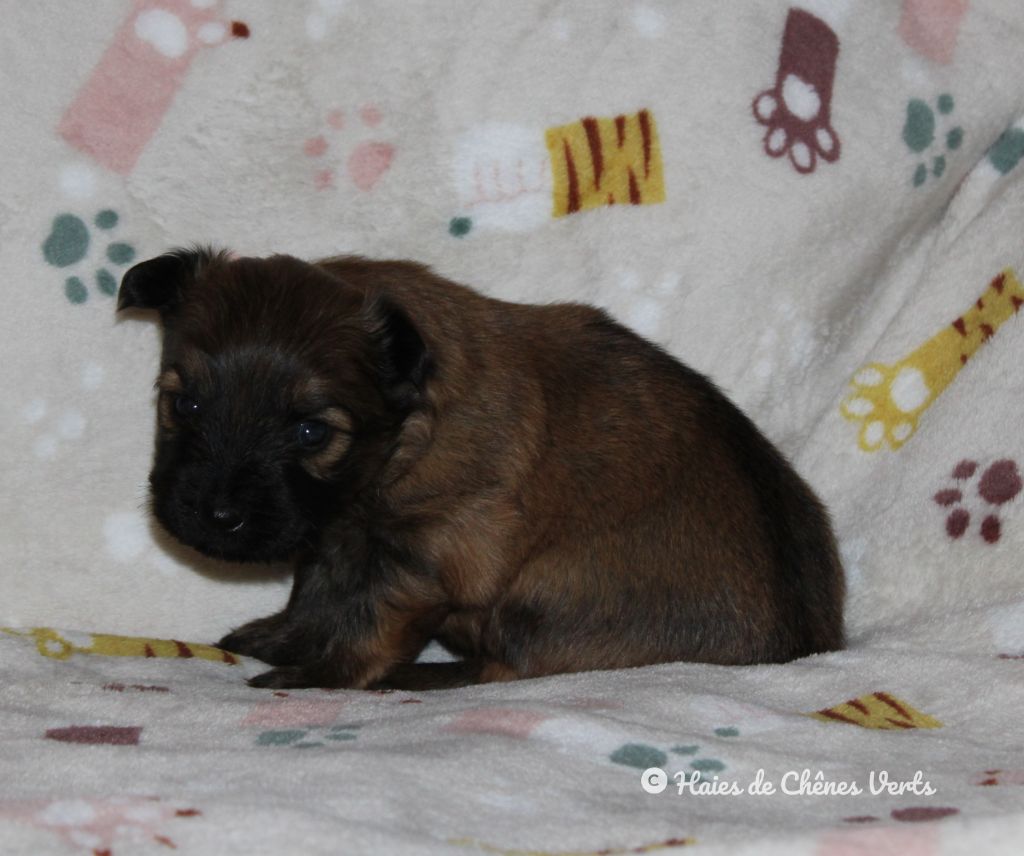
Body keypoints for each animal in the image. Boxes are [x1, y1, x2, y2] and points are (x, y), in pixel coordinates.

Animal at [116, 248, 843, 688]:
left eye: (310, 432)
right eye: (185, 403)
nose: (215, 516)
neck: (401, 439)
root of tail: (810, 645)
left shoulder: (435, 553)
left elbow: (369, 620)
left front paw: (324, 673)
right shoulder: (337, 535)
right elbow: (316, 591)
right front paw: (284, 636)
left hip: (542, 595)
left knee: (508, 667)